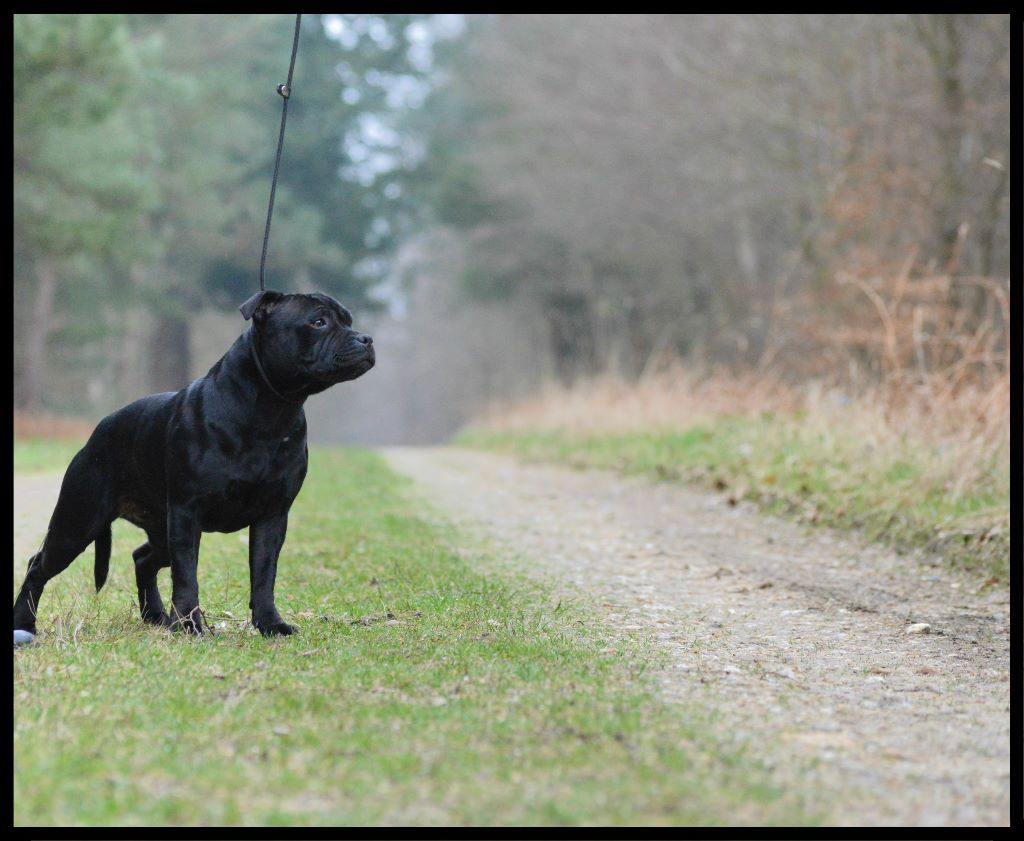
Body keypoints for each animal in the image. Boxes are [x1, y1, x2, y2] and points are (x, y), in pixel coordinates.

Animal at [12, 290, 374, 643]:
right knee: (37, 565)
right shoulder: (187, 512)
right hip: (78, 524)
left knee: (142, 557)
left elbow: (263, 576)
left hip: (159, 531)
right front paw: (190, 626)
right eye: (318, 322)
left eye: (348, 320)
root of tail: (98, 431)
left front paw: (270, 624)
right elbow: (187, 576)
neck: (270, 409)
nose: (366, 339)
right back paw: (25, 623)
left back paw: (156, 616)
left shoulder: (272, 515)